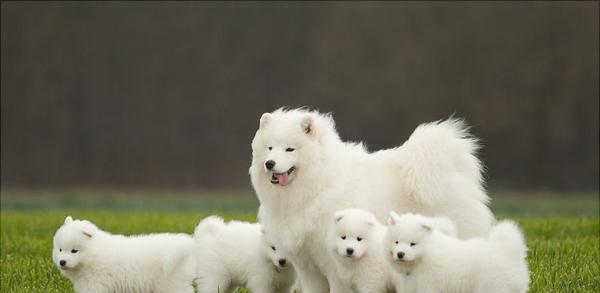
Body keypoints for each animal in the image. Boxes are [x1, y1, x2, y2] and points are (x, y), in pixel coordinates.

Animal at [52, 214, 196, 292]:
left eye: (74, 251)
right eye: (60, 249)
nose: (62, 262)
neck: (93, 255)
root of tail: (185, 244)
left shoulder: (95, 284)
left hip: (171, 286)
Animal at [251, 107, 494, 292]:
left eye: (289, 149)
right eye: (269, 147)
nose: (269, 163)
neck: (318, 184)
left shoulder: (334, 263)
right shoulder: (307, 265)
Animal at [384, 212, 528, 292]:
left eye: (412, 244)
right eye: (396, 242)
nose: (400, 254)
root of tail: (506, 250)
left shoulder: (429, 286)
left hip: (493, 286)